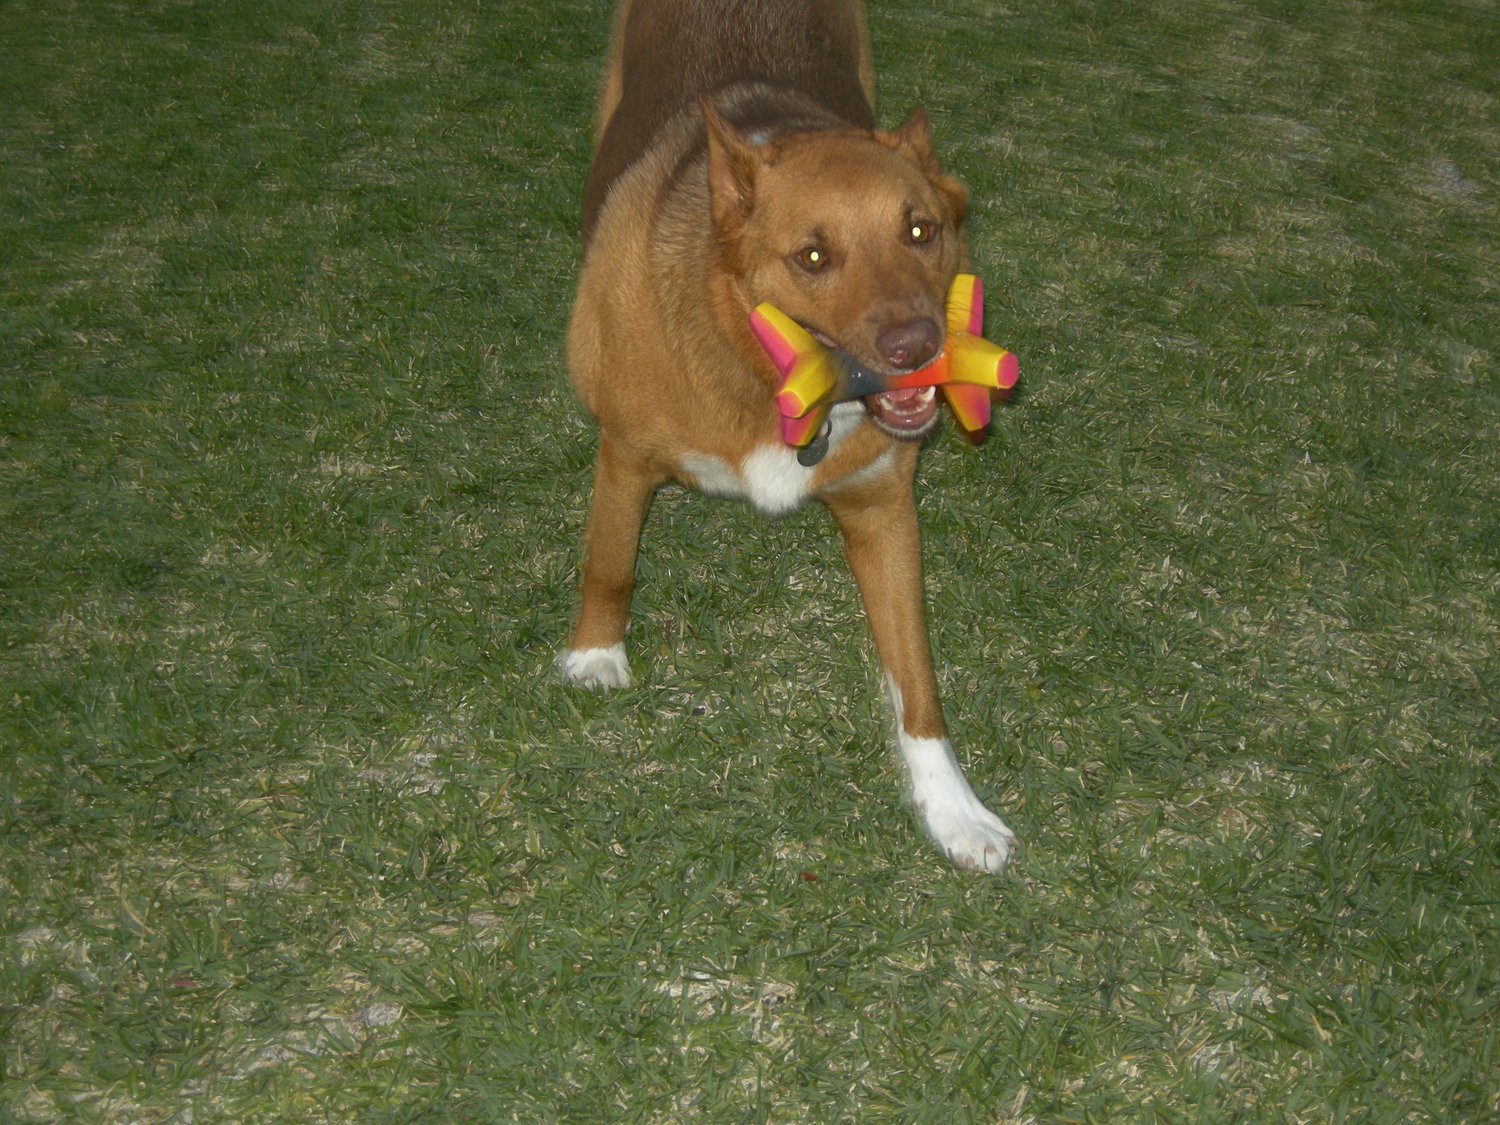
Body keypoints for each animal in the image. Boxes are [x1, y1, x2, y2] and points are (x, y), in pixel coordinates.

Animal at [564, 0, 1020, 870]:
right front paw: (594, 656)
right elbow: (610, 563)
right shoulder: (627, 456)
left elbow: (918, 682)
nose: (918, 346)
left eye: (921, 232)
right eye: (813, 255)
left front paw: (953, 807)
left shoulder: (884, 513)